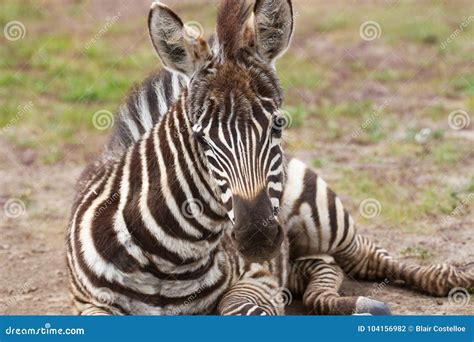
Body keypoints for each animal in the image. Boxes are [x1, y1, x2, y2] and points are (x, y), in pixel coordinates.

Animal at [67, 0, 474, 316]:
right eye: (200, 137)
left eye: (278, 124)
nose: (258, 236)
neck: (170, 262)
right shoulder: (89, 303)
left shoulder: (257, 278)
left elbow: (240, 308)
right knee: (322, 266)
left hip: (321, 217)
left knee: (366, 256)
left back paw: (457, 278)